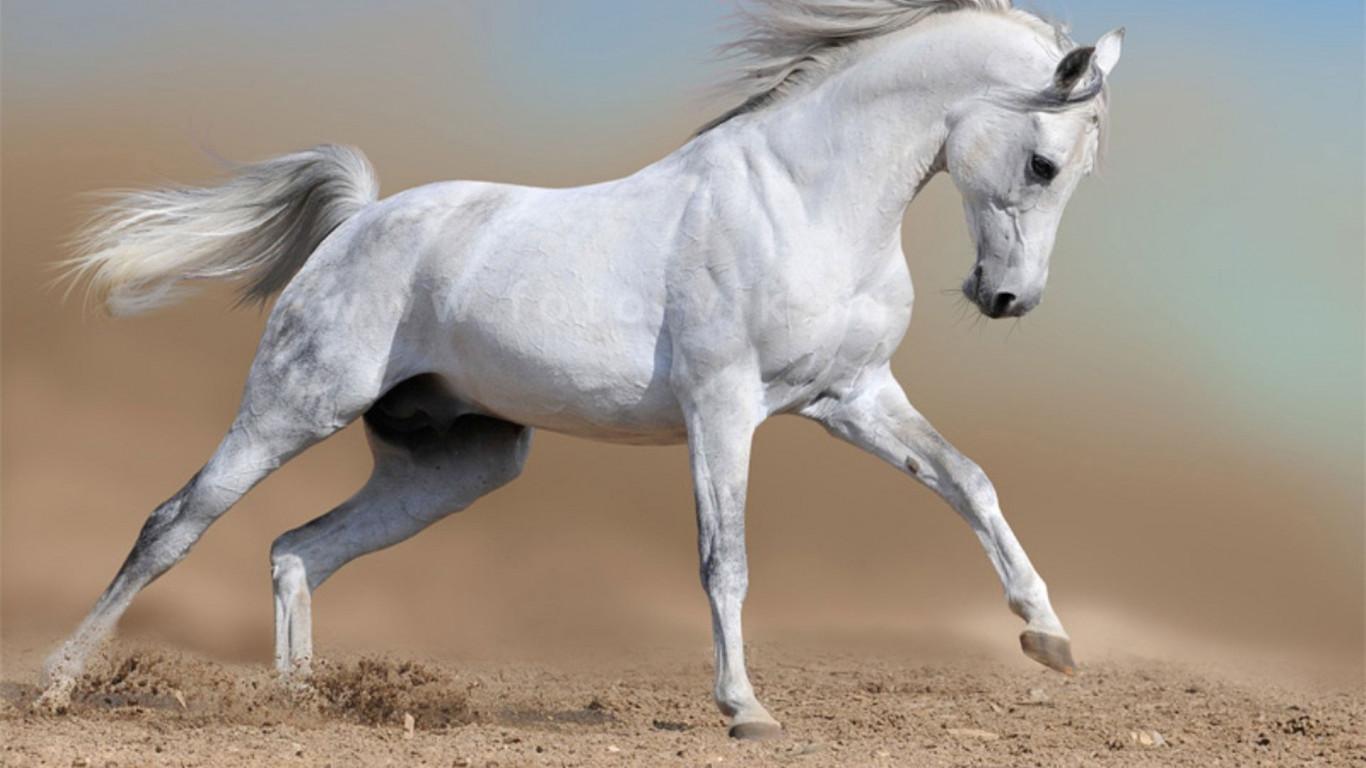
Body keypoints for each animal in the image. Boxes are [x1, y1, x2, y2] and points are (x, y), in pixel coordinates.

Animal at [43, 0, 1123, 739]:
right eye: (1043, 163)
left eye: (1078, 169)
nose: (1006, 299)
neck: (802, 200)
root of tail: (360, 220)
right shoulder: (722, 407)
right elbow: (724, 558)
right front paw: (744, 710)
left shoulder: (851, 398)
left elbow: (969, 482)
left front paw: (1050, 640)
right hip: (290, 408)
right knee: (173, 524)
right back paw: (58, 682)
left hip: (459, 465)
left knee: (298, 550)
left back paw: (306, 703)